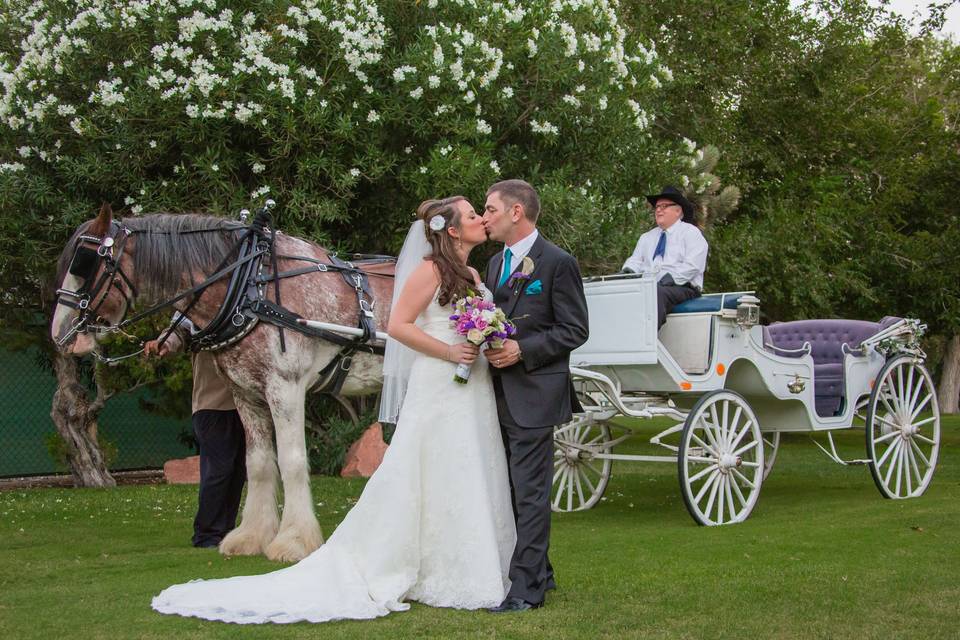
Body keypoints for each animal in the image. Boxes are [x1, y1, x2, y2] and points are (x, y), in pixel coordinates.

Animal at [50, 205, 396, 560]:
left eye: (84, 263)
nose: (59, 333)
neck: (252, 287)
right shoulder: (245, 393)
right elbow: (258, 463)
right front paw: (252, 536)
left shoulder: (285, 387)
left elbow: (292, 461)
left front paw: (294, 540)